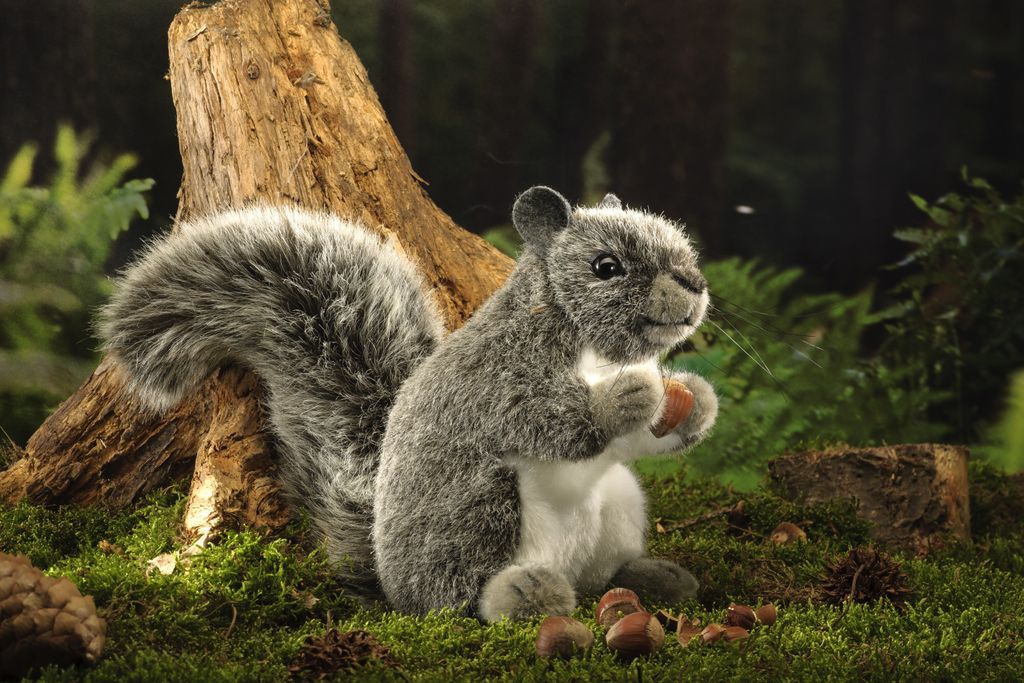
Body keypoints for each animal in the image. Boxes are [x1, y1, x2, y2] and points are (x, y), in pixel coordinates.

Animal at [99, 186, 718, 622]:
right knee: (457, 602)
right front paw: (624, 398)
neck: (591, 353)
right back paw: (519, 592)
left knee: (602, 575)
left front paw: (697, 402)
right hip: (478, 510)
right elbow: (540, 419)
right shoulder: (489, 385)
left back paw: (655, 578)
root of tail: (388, 579)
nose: (694, 284)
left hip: (618, 506)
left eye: (680, 244)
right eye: (606, 267)